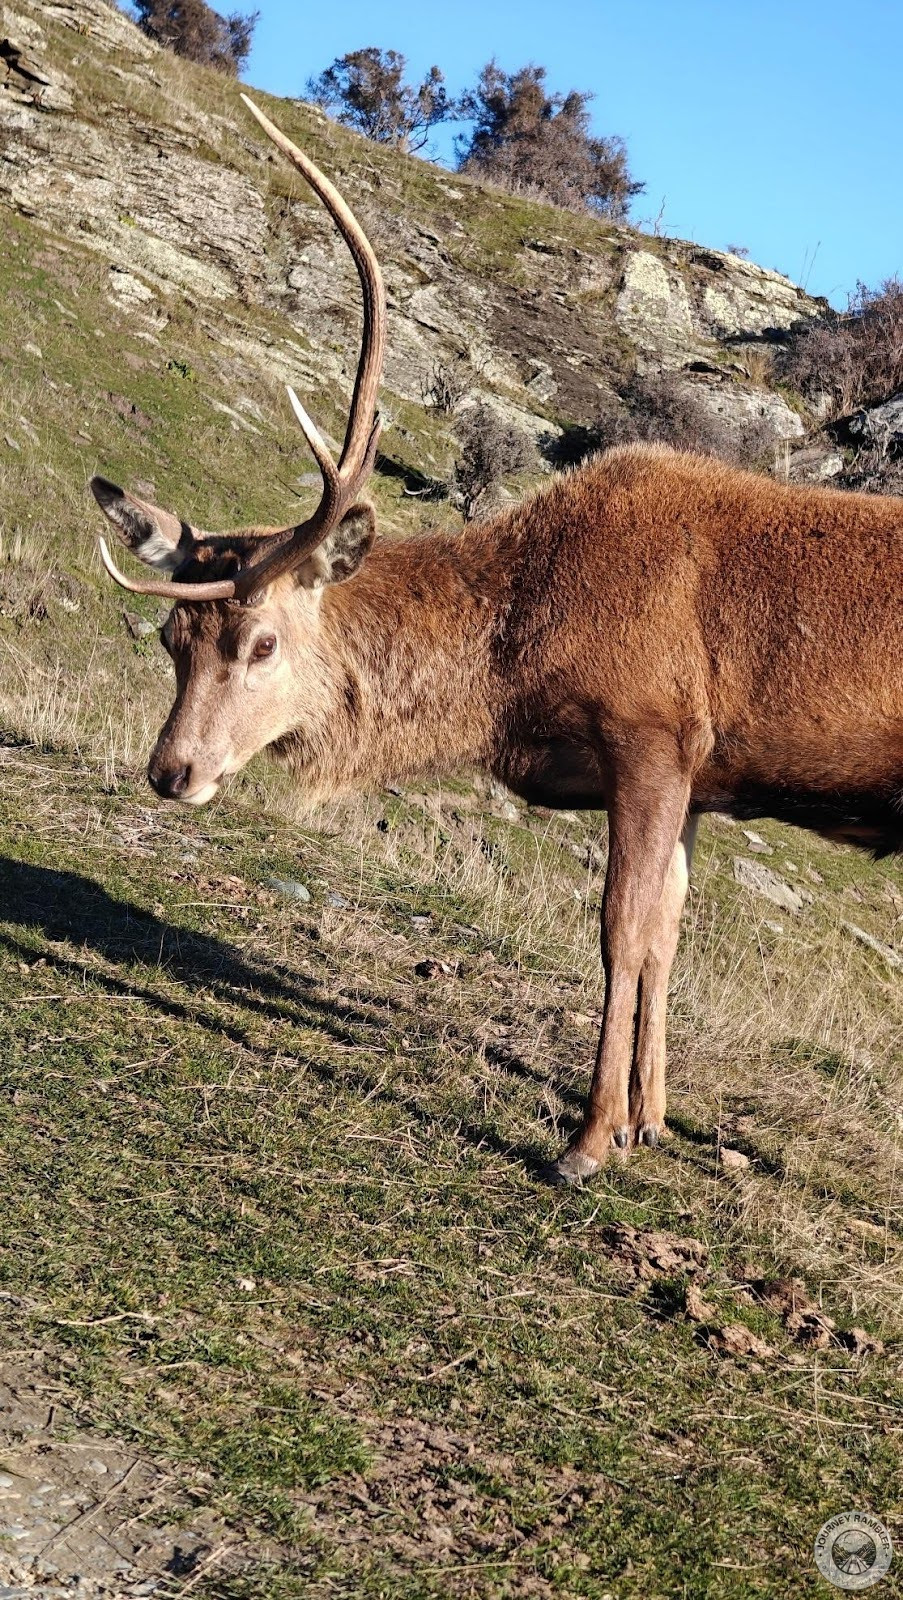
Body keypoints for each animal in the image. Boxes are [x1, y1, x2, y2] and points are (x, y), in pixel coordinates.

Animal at [90, 95, 903, 1186]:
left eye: (259, 642)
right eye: (172, 635)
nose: (172, 771)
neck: (513, 674)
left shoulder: (650, 729)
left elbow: (620, 930)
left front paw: (589, 1141)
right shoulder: (701, 774)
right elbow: (670, 931)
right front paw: (648, 1119)